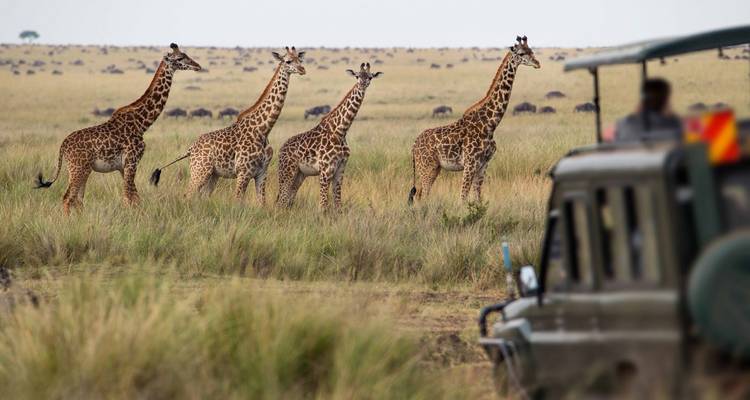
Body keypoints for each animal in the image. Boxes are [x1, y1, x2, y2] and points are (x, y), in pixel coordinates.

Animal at [35, 43, 201, 214]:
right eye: (180, 58)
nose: (198, 66)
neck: (141, 124)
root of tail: (63, 146)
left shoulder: (123, 167)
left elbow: (134, 198)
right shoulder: (131, 161)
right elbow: (129, 197)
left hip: (83, 169)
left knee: (78, 199)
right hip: (78, 168)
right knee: (68, 198)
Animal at [150, 47, 305, 204]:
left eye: (300, 59)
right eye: (288, 61)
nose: (302, 69)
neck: (263, 129)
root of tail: (191, 148)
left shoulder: (262, 172)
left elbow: (262, 202)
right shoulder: (243, 172)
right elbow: (238, 201)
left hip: (213, 174)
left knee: (202, 196)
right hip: (199, 171)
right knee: (188, 194)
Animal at [276, 63, 382, 210]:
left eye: (370, 77)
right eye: (357, 76)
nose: (362, 84)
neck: (340, 131)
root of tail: (281, 150)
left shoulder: (340, 169)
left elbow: (338, 205)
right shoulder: (325, 170)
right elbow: (323, 206)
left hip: (300, 174)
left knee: (288, 200)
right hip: (287, 171)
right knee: (281, 201)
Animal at [408, 36, 540, 204]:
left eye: (532, 51)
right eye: (522, 53)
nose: (537, 63)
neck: (490, 124)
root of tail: (413, 145)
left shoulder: (483, 164)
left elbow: (477, 197)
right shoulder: (470, 163)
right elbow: (463, 197)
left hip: (434, 167)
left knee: (420, 195)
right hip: (427, 166)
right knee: (423, 195)